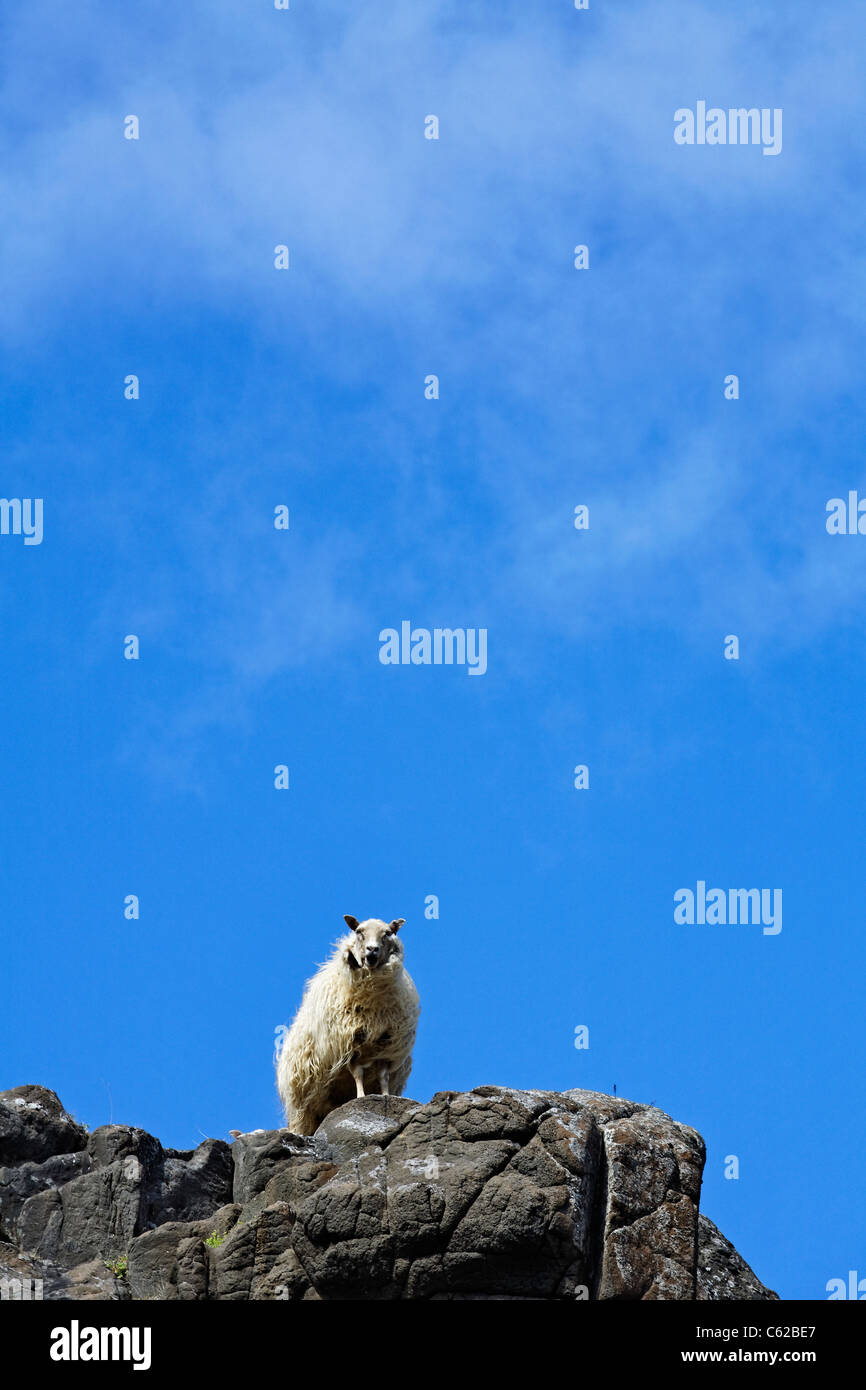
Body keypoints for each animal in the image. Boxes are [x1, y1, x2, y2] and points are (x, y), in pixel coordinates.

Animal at [276, 917, 422, 1134]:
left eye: (388, 932)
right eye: (359, 931)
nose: (372, 950)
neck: (373, 999)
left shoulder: (385, 1050)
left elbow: (383, 1077)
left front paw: (385, 1096)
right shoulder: (350, 1048)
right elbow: (358, 1074)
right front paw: (361, 1097)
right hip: (301, 1103)